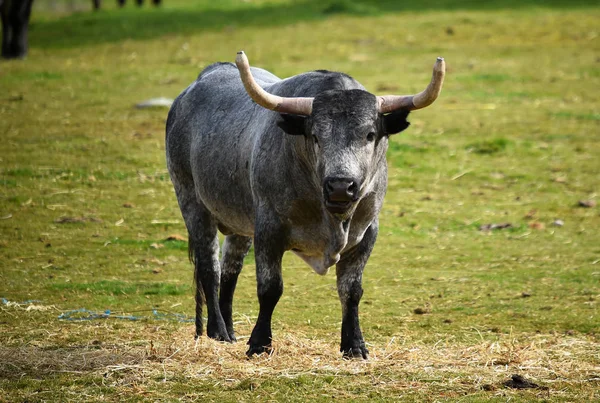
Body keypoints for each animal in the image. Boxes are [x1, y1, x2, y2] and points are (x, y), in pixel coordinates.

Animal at [165, 51, 446, 360]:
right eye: (315, 136)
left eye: (370, 134)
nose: (340, 186)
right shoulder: (269, 228)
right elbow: (270, 288)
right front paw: (260, 343)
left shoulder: (367, 232)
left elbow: (351, 290)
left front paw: (354, 345)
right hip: (191, 200)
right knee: (210, 269)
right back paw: (217, 331)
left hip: (240, 221)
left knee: (230, 271)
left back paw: (229, 330)